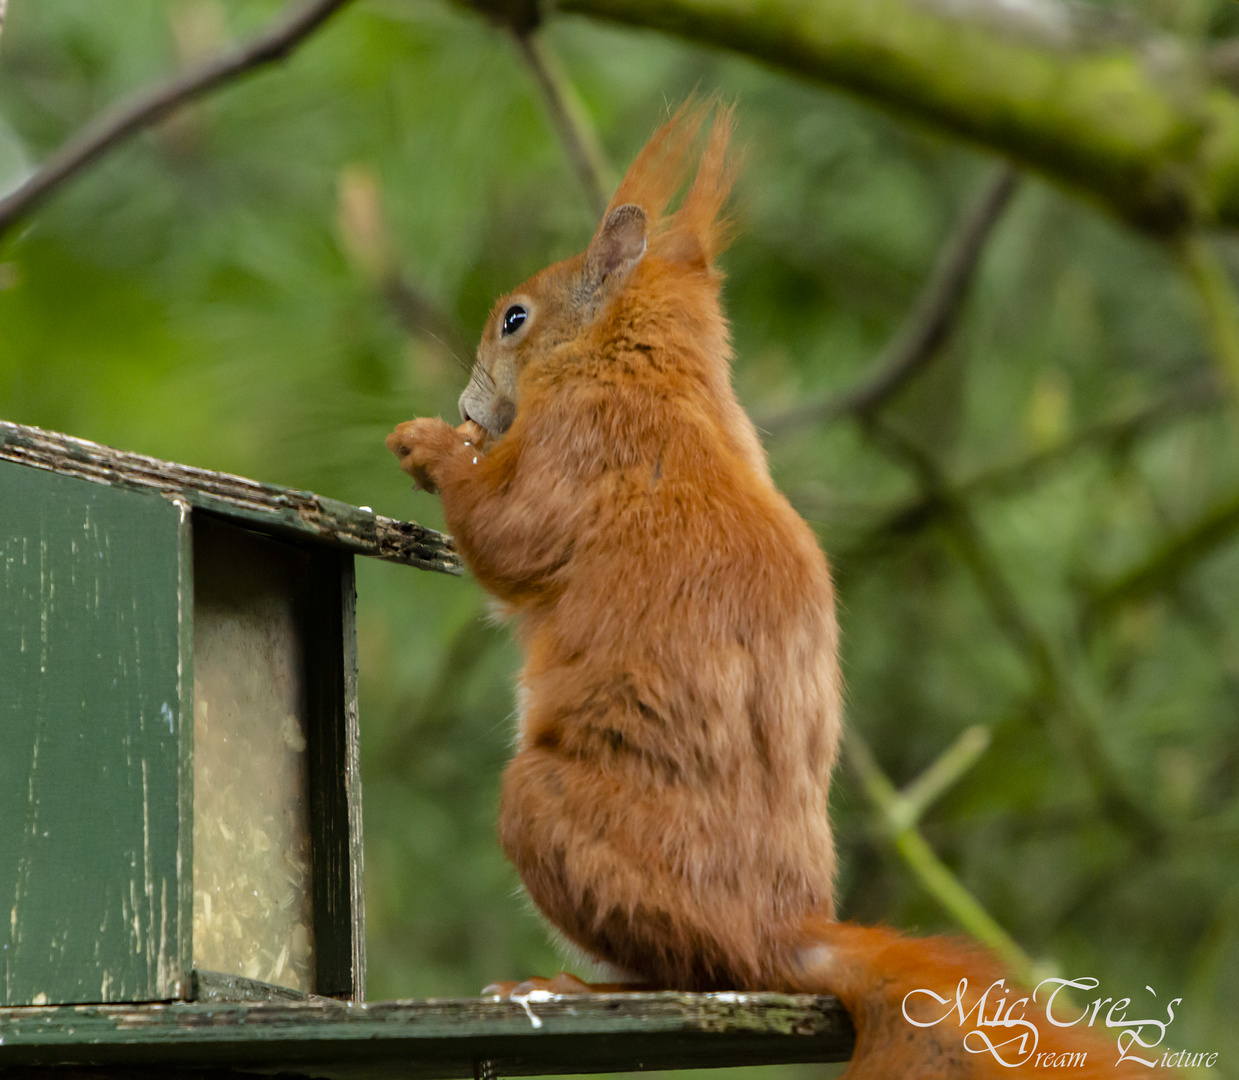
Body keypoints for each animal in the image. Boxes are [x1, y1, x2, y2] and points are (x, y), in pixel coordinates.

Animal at [389, 103, 1169, 1080]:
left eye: (514, 320)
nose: (467, 406)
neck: (641, 368)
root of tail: (786, 935)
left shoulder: (585, 443)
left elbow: (509, 539)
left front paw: (433, 449)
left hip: (554, 815)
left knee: (694, 974)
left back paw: (567, 987)